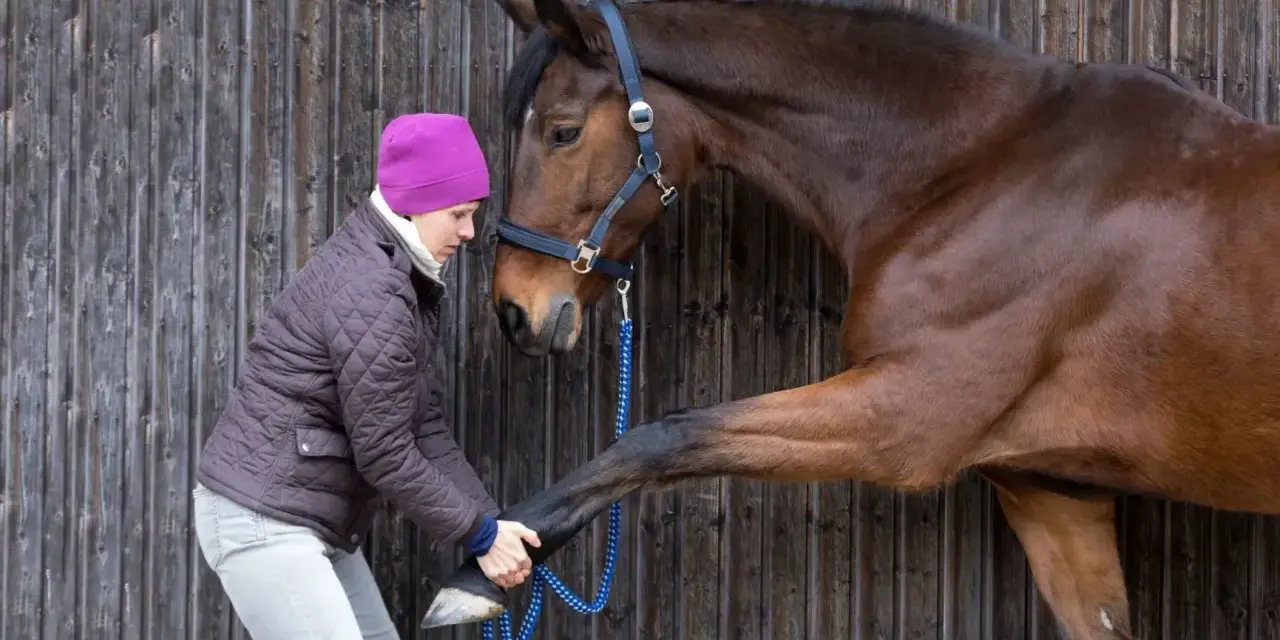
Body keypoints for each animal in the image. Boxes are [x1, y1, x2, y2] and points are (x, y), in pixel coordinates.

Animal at [421, 0, 1280, 636]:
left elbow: (664, 436)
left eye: (562, 130)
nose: (517, 311)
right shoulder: (1052, 493)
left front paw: (478, 574)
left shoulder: (905, 420)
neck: (981, 170)